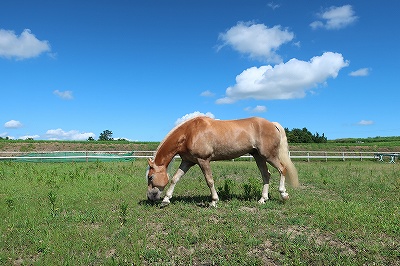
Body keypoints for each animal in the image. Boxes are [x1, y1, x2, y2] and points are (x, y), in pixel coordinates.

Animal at [146, 117, 296, 208]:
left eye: (150, 177)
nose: (150, 197)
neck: (189, 133)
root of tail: (272, 124)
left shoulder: (203, 160)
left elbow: (209, 181)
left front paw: (214, 201)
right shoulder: (187, 162)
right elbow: (175, 179)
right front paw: (166, 200)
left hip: (269, 156)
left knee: (282, 169)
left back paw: (283, 194)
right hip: (259, 157)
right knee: (266, 174)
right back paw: (262, 199)